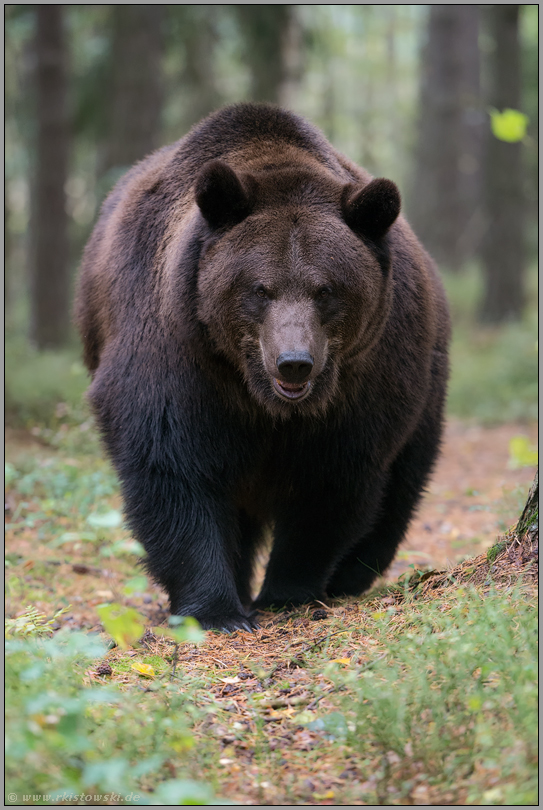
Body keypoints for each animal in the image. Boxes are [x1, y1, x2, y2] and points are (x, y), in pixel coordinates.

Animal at [75, 102, 450, 632]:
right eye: (260, 288)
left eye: (326, 289)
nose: (294, 363)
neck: (260, 396)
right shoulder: (177, 354)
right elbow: (172, 469)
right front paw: (216, 609)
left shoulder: (364, 378)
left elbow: (332, 481)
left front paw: (289, 591)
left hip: (426, 381)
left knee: (402, 485)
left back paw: (350, 576)